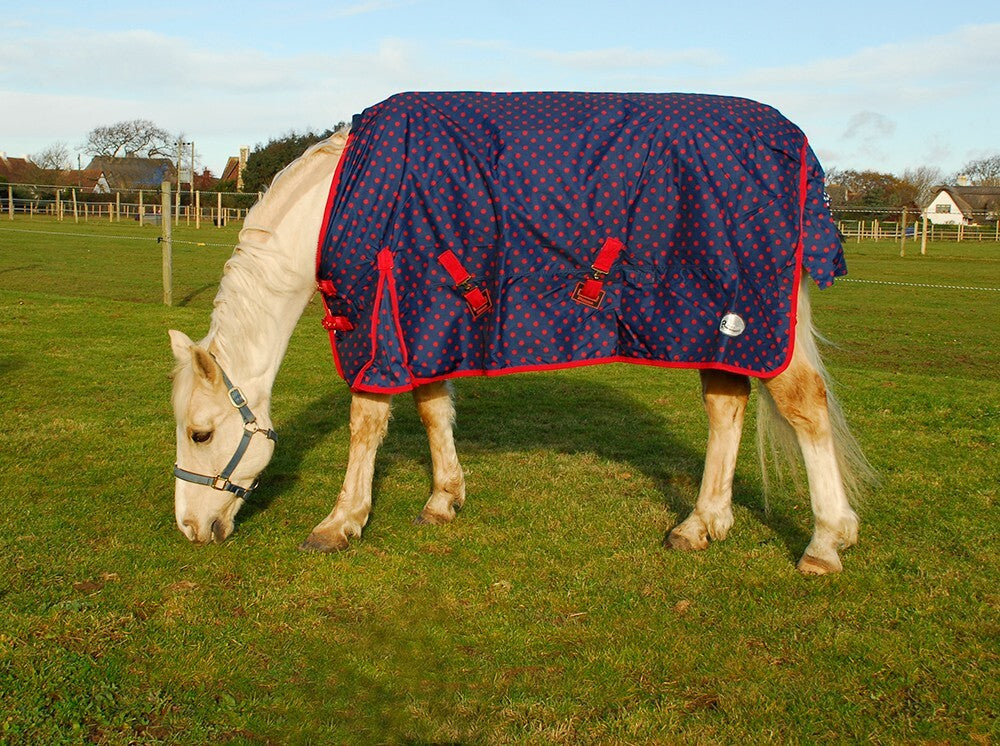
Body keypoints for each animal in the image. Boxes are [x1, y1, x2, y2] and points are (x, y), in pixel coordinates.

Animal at [169, 93, 869, 575]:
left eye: (201, 433)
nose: (188, 530)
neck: (341, 200)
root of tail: (794, 146)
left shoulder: (380, 327)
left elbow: (366, 421)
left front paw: (340, 522)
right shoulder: (425, 319)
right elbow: (432, 408)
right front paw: (443, 499)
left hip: (746, 314)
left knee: (804, 406)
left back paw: (825, 542)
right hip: (711, 320)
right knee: (726, 405)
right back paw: (701, 524)